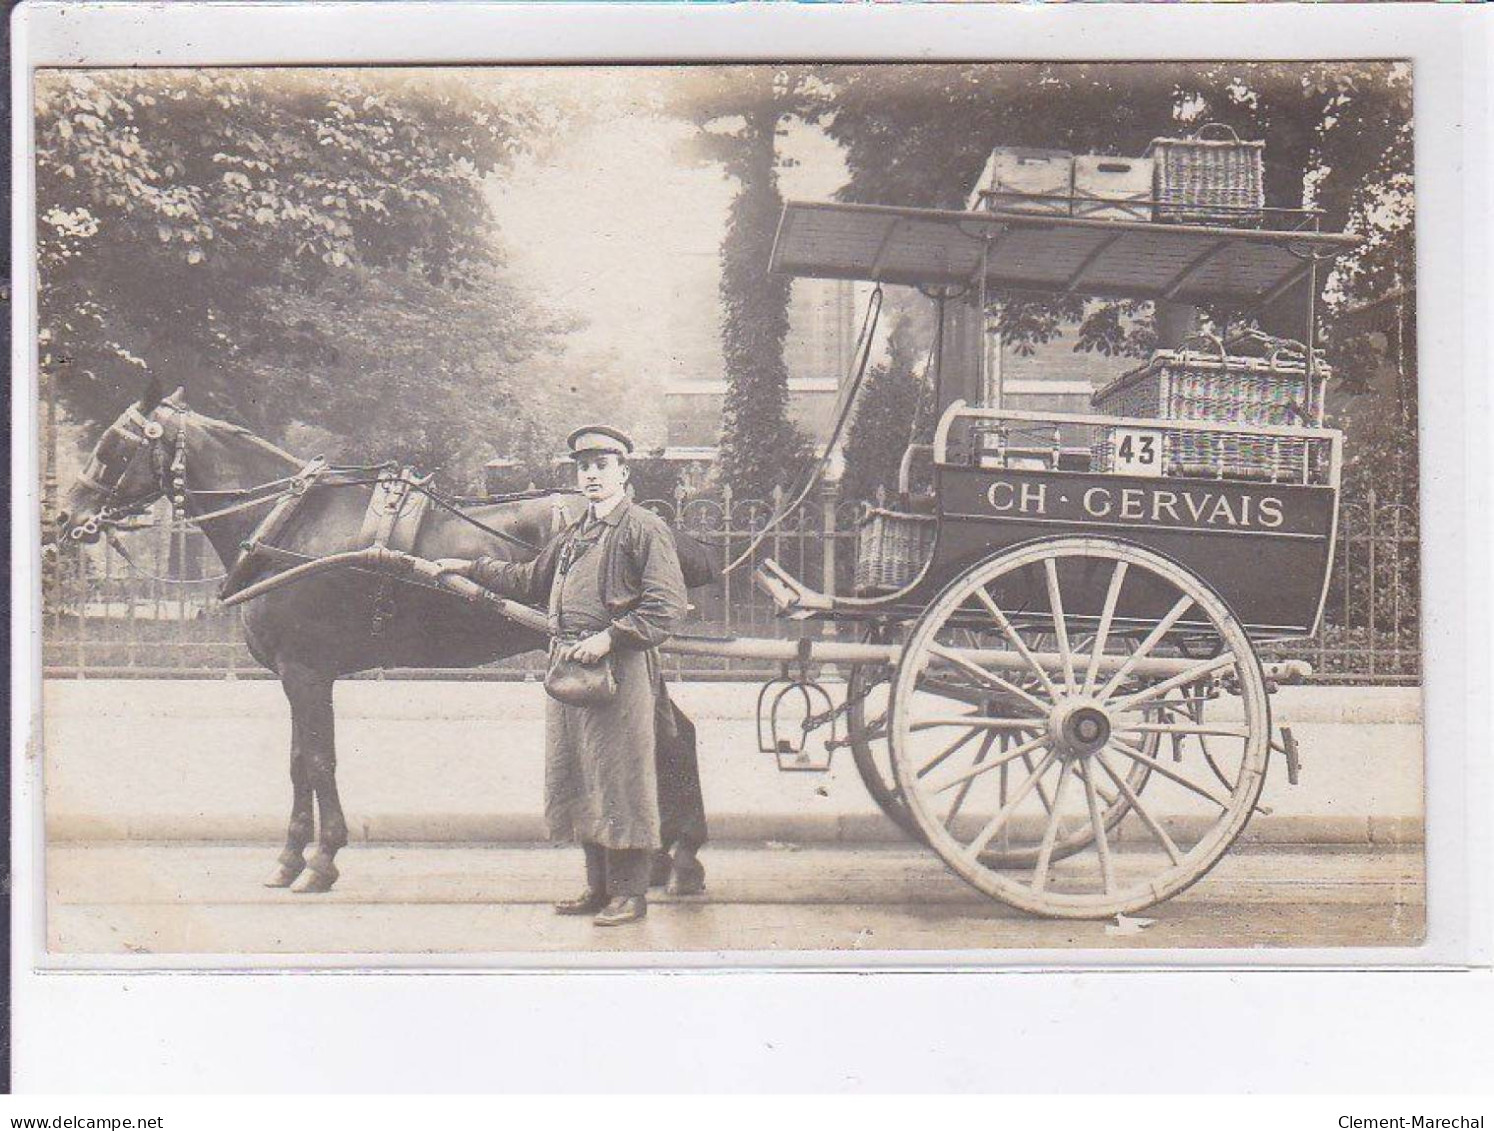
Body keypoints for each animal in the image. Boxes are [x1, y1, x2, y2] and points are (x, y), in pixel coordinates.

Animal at [55, 379, 708, 890]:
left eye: (113, 446)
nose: (67, 516)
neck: (288, 524)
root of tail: (656, 524)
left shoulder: (306, 672)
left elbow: (318, 761)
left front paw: (320, 860)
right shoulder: (297, 677)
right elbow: (299, 761)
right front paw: (290, 859)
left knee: (667, 737)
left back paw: (671, 859)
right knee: (671, 734)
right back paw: (669, 858)